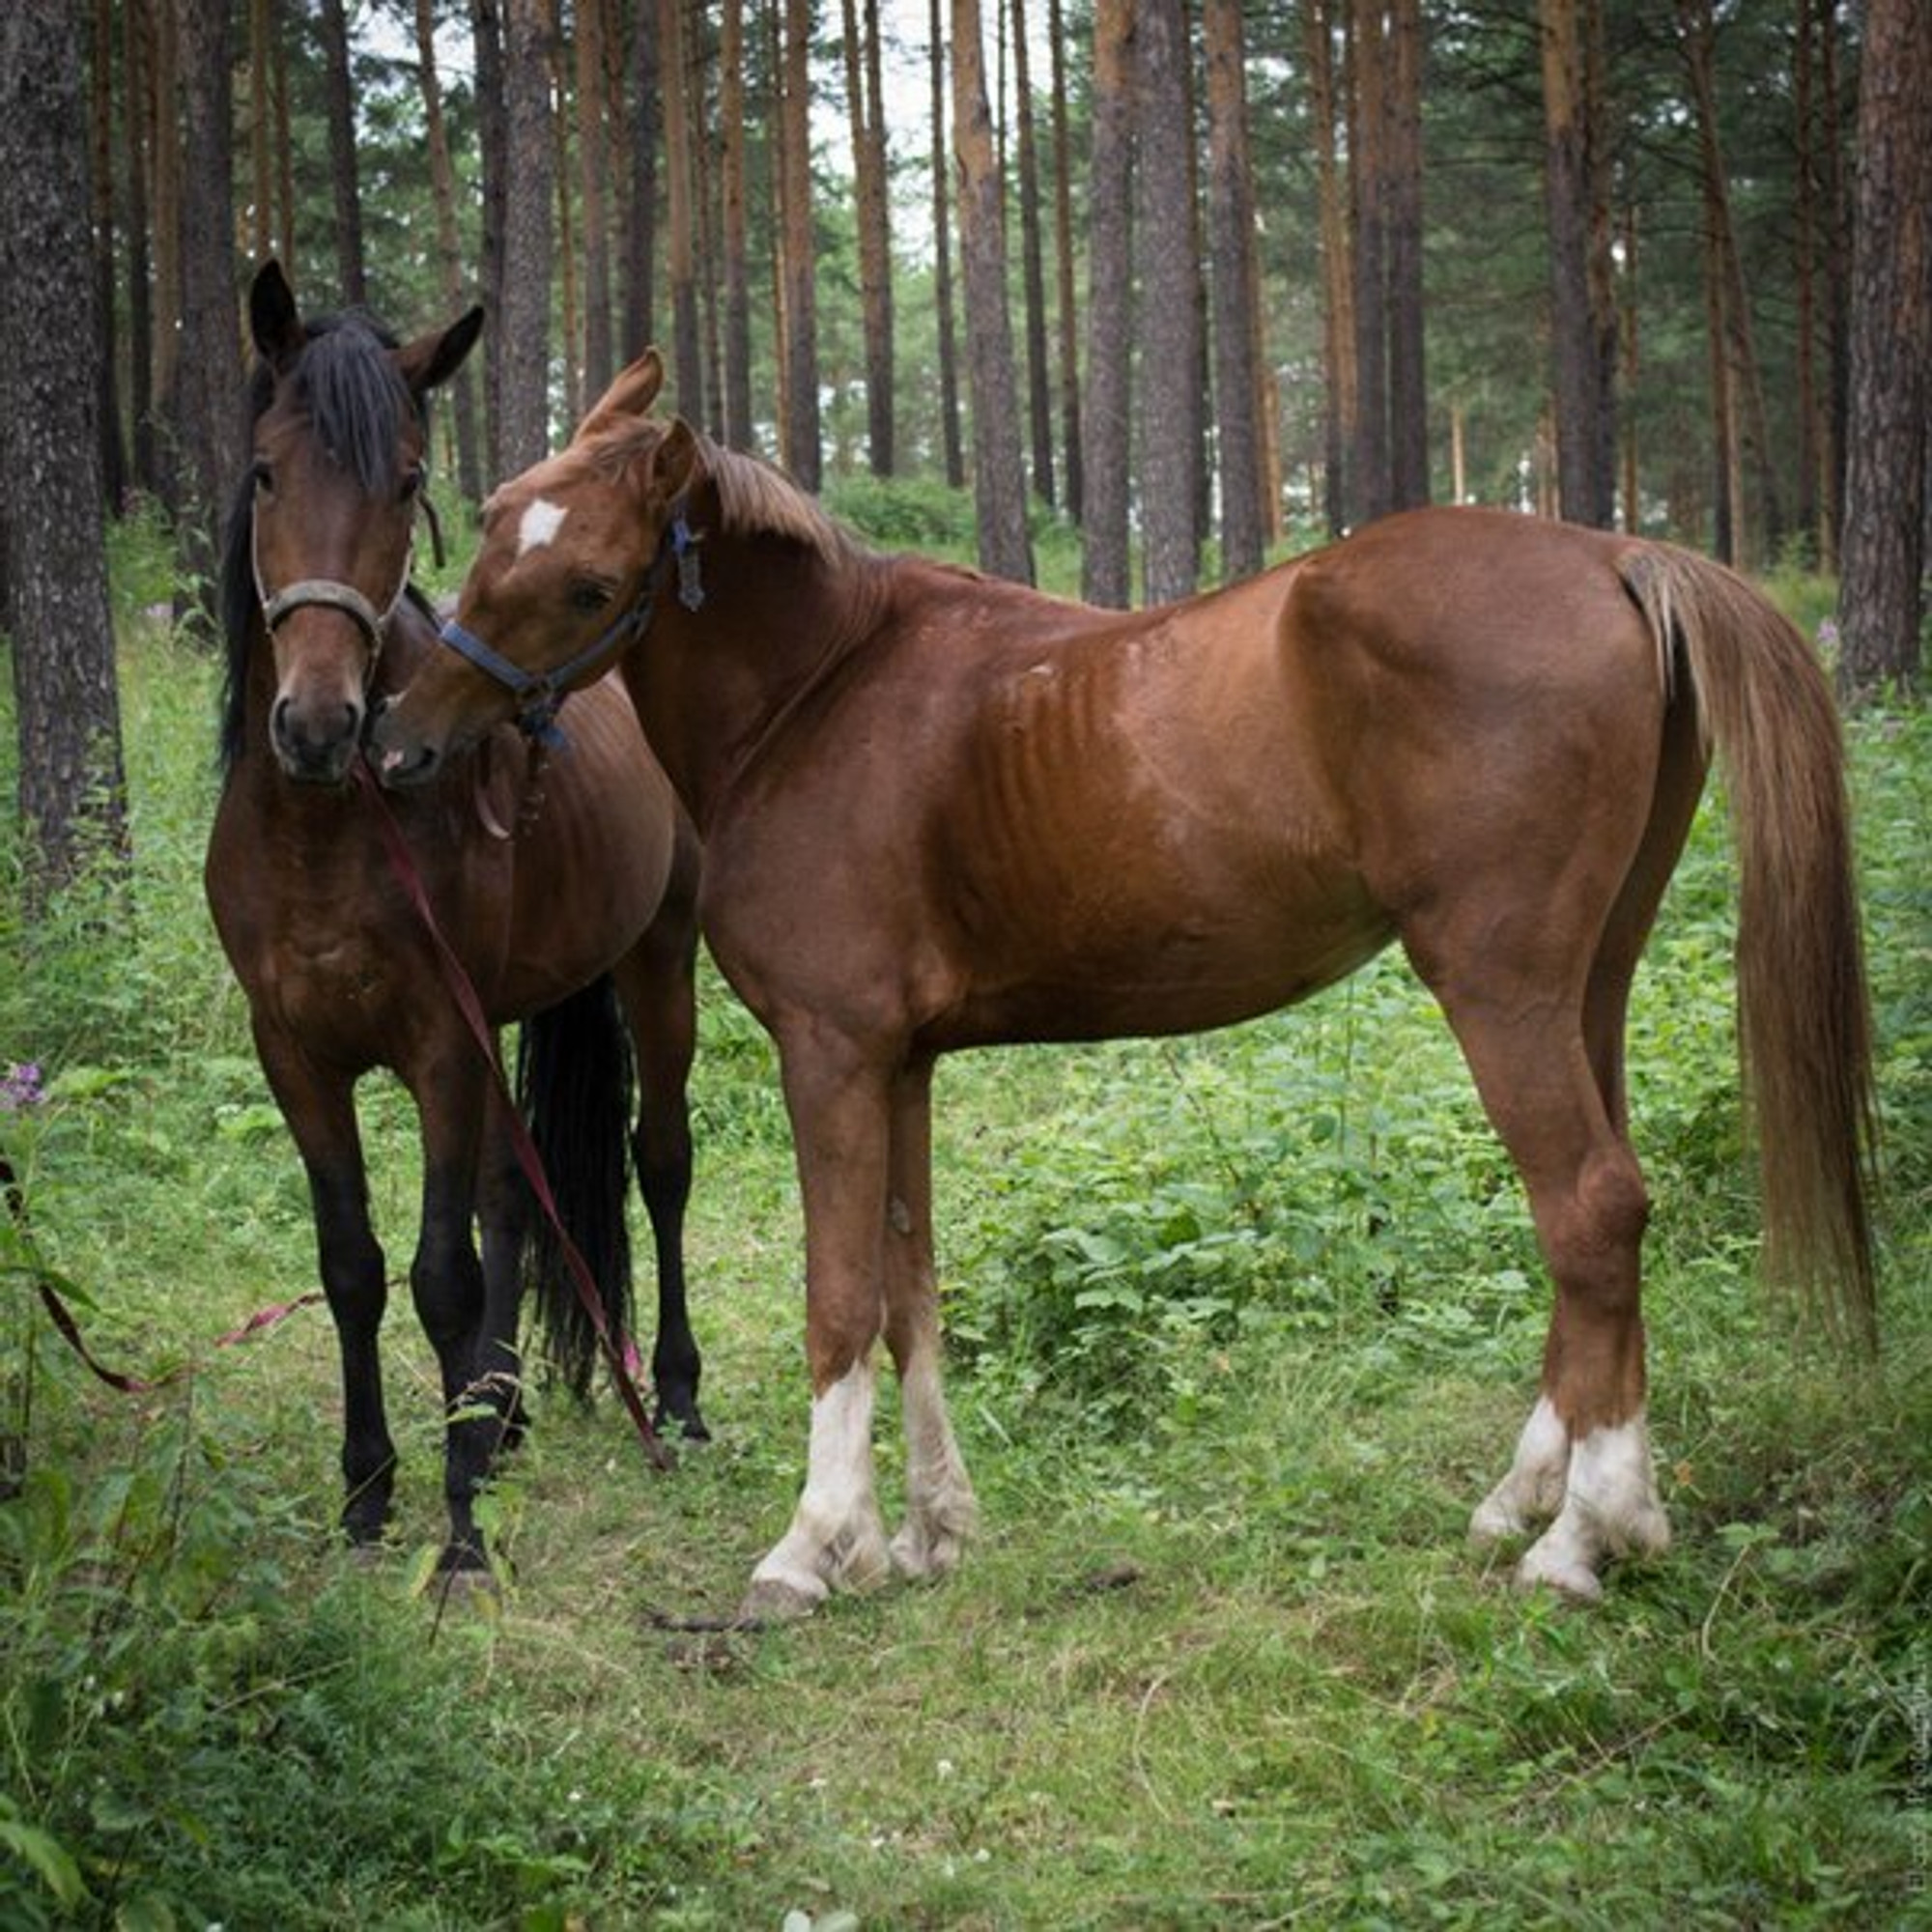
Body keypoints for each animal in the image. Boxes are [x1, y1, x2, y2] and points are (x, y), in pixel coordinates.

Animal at [212, 282, 711, 1569]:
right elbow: (353, 1263)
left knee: (659, 1161)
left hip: (658, 956)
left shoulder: (438, 1038)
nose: (322, 724)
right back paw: (496, 1410)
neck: (328, 827)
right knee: (508, 1192)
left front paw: (459, 1533)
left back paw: (673, 1395)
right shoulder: (294, 1051)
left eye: (404, 481)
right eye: (266, 473)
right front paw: (370, 1487)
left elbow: (439, 1271)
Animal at [369, 355, 1878, 1607]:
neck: (822, 695)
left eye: (582, 583)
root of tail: (1617, 553)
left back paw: (1580, 1541)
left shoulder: (831, 1049)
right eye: (488, 522)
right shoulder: (901, 1060)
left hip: (1498, 986)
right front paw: (927, 1533)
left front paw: (812, 1546)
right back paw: (1543, 1502)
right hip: (1589, 986)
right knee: (1602, 1219)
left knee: (1590, 1209)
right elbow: (912, 1289)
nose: (399, 745)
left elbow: (839, 1296)